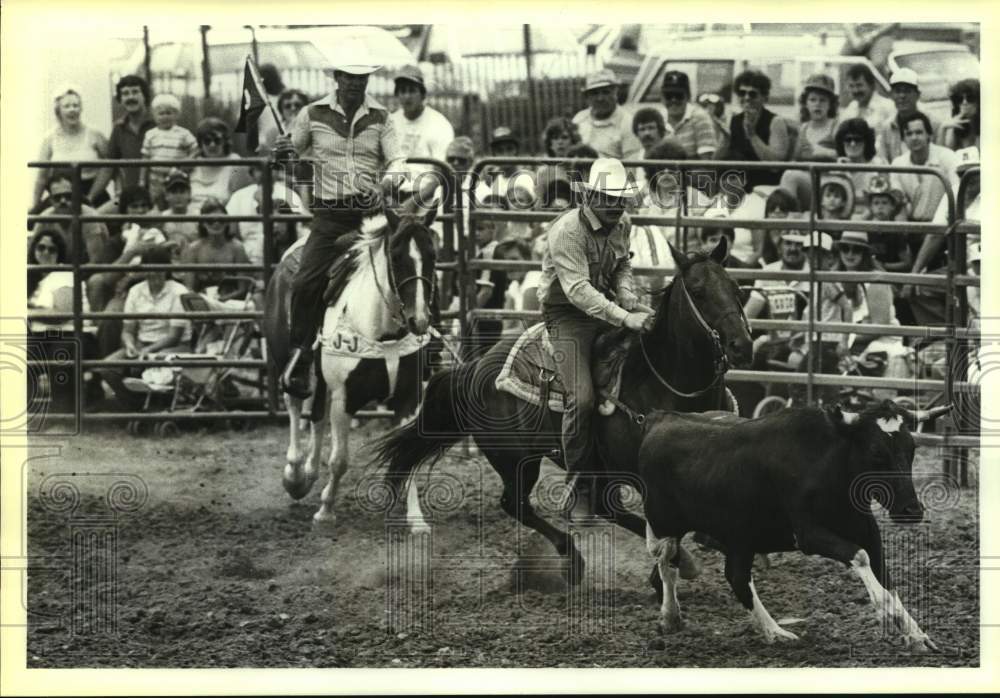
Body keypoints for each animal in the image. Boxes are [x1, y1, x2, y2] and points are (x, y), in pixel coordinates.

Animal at [264, 203, 436, 528]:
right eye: (396, 256)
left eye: (432, 255)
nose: (418, 321)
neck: (382, 331)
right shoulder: (345, 398)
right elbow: (340, 459)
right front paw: (325, 510)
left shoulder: (409, 398)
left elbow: (408, 455)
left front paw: (416, 519)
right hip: (288, 360)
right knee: (294, 404)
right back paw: (294, 475)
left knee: (316, 417)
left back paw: (309, 473)